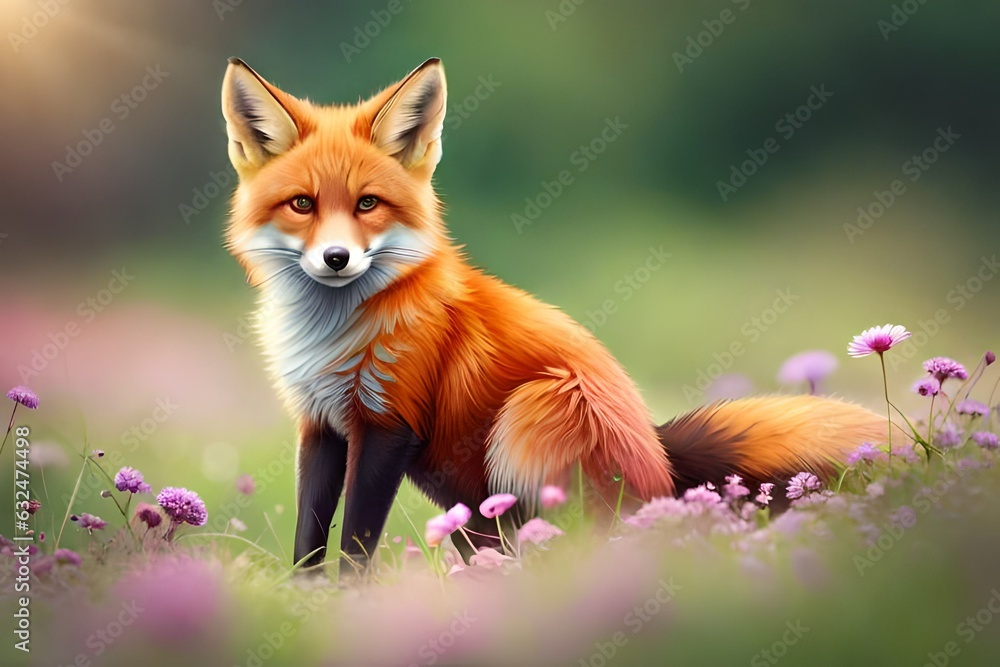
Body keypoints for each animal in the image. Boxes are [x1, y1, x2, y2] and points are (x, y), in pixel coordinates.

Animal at [220, 57, 890, 571]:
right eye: (302, 205)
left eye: (367, 204)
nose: (336, 258)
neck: (335, 334)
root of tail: (663, 468)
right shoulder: (320, 423)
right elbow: (311, 538)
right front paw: (305, 599)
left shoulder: (389, 421)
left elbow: (356, 545)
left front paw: (345, 603)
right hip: (476, 508)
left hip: (538, 408)